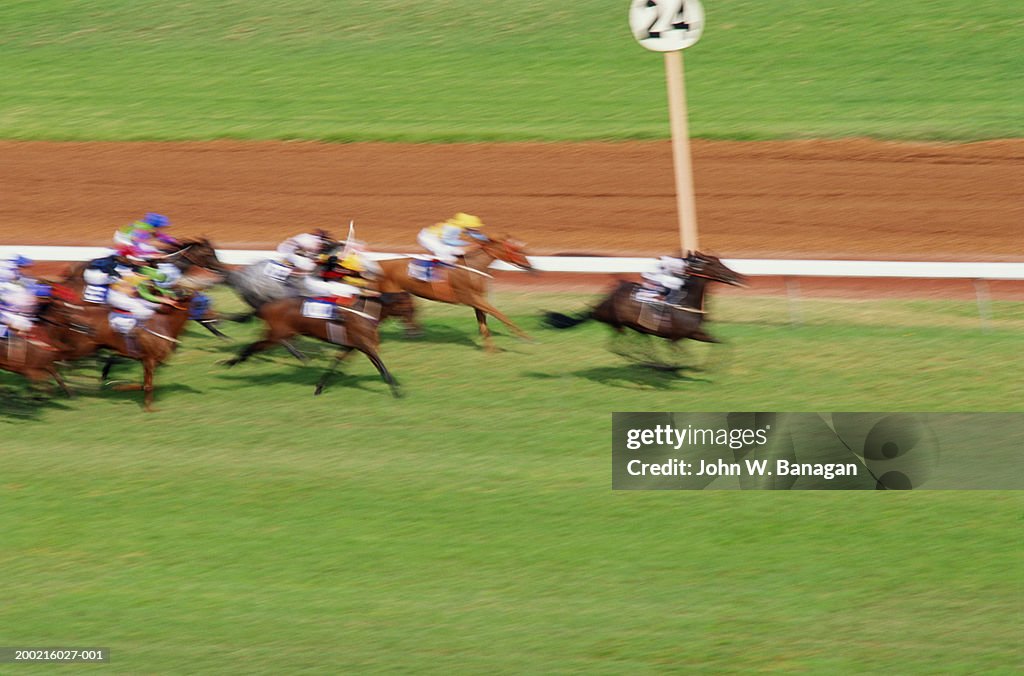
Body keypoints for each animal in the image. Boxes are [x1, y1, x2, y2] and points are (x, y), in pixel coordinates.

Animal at [224, 294, 399, 395]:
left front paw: (320, 387)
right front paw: (396, 388)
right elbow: (379, 363)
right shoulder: (364, 344)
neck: (365, 313)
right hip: (278, 333)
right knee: (261, 344)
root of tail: (265, 306)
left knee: (258, 344)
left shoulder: (352, 346)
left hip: (278, 332)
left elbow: (337, 362)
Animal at [376, 234, 536, 350]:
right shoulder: (470, 297)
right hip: (390, 294)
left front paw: (491, 350)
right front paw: (525, 337)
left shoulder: (477, 299)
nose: (530, 266)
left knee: (407, 310)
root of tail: (378, 264)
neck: (474, 266)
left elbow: (483, 323)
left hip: (400, 294)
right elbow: (499, 314)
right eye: (517, 250)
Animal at [544, 254, 745, 346]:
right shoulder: (675, 337)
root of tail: (599, 305)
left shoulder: (694, 334)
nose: (737, 276)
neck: (685, 302)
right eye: (715, 265)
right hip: (621, 325)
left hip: (636, 328)